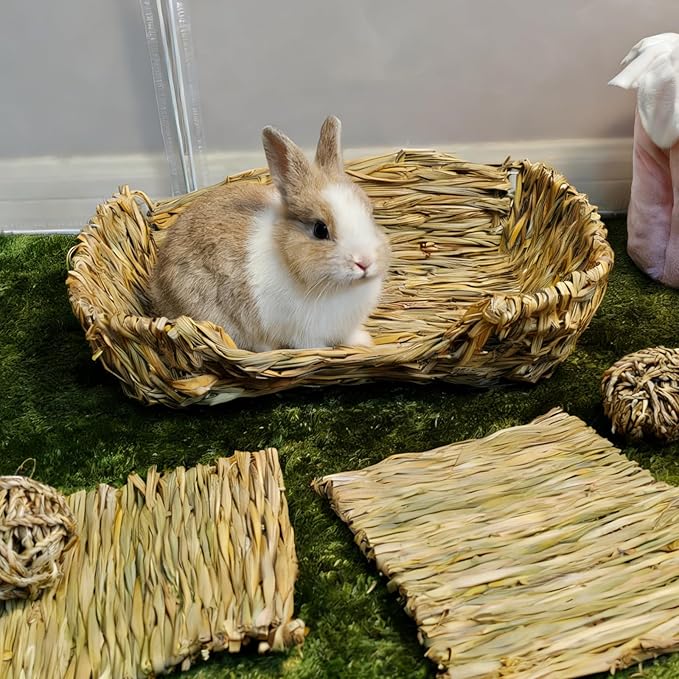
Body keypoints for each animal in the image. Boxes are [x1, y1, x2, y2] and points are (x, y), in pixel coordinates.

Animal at [148, 116, 391, 351]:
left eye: (369, 214)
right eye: (320, 230)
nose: (365, 262)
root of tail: (157, 285)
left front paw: (363, 342)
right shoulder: (303, 334)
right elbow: (313, 346)